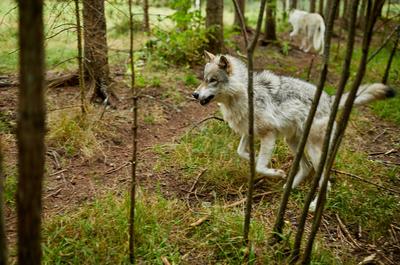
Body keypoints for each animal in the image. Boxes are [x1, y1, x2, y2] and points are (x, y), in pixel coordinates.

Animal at [192, 50, 396, 209]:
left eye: (212, 80)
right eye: (203, 79)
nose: (194, 94)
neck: (243, 95)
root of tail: (330, 100)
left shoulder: (269, 135)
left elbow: (260, 166)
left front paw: (276, 172)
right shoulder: (250, 134)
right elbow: (241, 152)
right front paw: (255, 159)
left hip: (313, 150)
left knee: (325, 181)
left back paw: (313, 205)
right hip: (292, 142)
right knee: (306, 168)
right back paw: (288, 189)